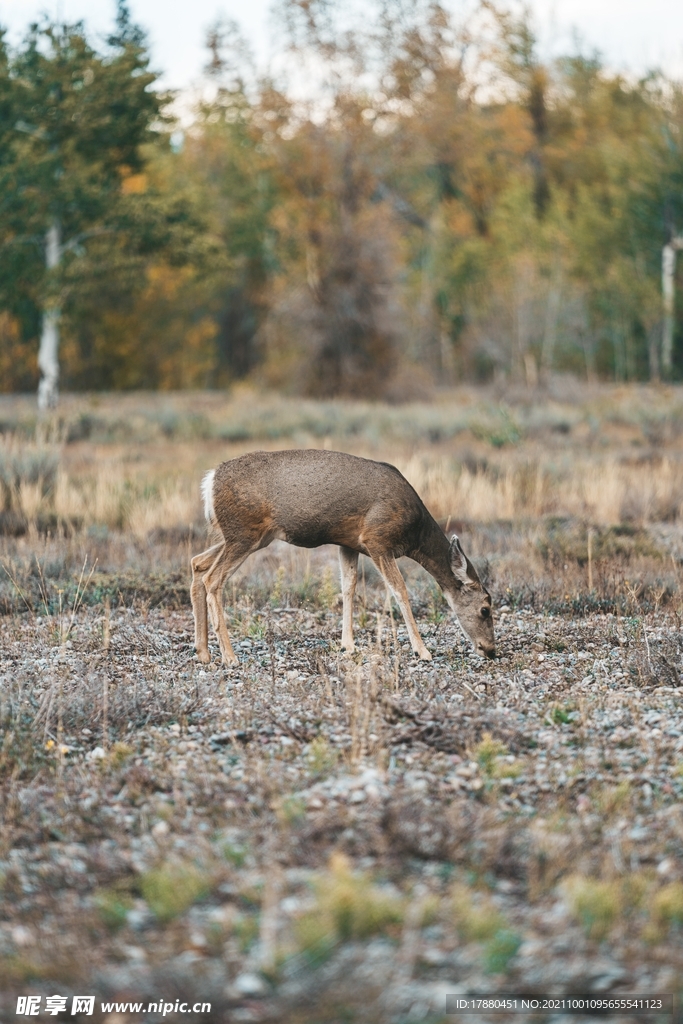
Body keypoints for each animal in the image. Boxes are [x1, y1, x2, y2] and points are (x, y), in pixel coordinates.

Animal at [189, 448, 493, 663]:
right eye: (485, 609)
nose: (491, 650)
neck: (414, 533)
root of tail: (209, 481)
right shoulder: (377, 539)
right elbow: (400, 591)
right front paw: (423, 650)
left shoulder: (349, 544)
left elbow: (348, 588)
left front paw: (348, 645)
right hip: (243, 533)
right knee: (212, 579)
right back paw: (229, 657)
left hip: (249, 537)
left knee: (197, 564)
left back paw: (203, 652)